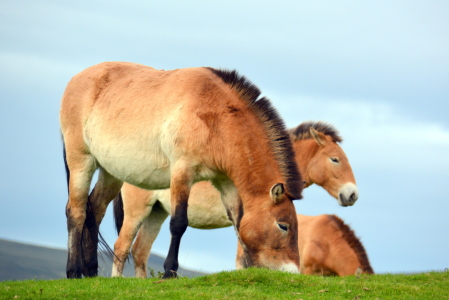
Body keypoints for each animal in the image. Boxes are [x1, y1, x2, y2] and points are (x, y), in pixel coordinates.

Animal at [59, 62, 302, 280]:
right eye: (283, 226)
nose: (292, 272)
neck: (213, 116)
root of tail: (75, 79)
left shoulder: (226, 183)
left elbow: (238, 223)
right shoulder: (182, 173)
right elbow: (178, 224)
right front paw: (169, 272)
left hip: (111, 173)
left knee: (95, 208)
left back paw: (91, 271)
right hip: (81, 161)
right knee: (76, 211)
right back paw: (73, 272)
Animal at [112, 120, 356, 278]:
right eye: (335, 159)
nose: (352, 194)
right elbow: (242, 257)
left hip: (157, 212)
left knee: (140, 251)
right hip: (138, 212)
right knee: (122, 246)